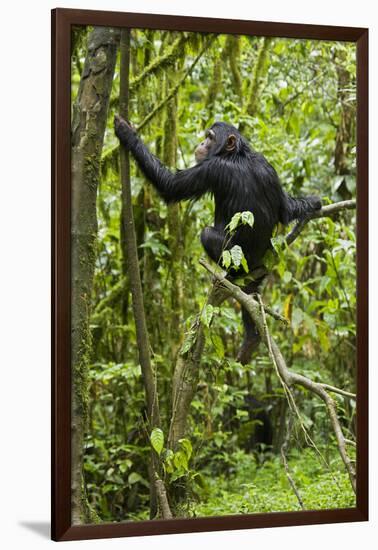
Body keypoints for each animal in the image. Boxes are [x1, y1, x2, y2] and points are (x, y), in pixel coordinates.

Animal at [115, 117, 322, 366]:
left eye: (211, 137)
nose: (202, 142)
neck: (237, 154)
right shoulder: (268, 167)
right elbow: (285, 209)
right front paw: (313, 203)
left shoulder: (212, 168)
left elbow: (170, 185)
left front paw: (126, 133)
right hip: (259, 268)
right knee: (252, 293)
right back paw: (251, 338)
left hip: (240, 260)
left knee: (206, 234)